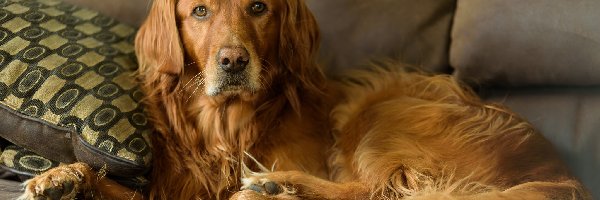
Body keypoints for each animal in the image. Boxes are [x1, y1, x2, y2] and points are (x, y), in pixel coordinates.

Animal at [19, 0, 592, 199]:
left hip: (384, 107)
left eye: (258, 7)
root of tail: (559, 175)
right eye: (199, 11)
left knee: (378, 190)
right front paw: (62, 178)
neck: (226, 129)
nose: (233, 61)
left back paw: (275, 187)